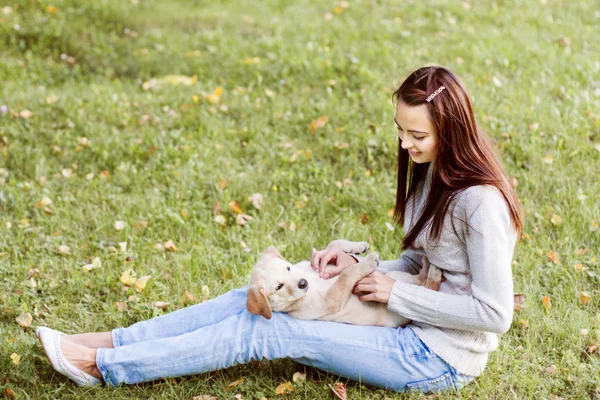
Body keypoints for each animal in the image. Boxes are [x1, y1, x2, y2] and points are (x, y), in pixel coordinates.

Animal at [246, 239, 442, 326]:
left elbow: (333, 245)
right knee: (423, 288)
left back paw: (426, 261)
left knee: (418, 279)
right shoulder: (329, 301)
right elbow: (346, 274)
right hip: (395, 310)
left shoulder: (317, 266)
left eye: (288, 268)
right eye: (279, 287)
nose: (302, 283)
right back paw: (432, 274)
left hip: (397, 275)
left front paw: (358, 246)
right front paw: (367, 262)